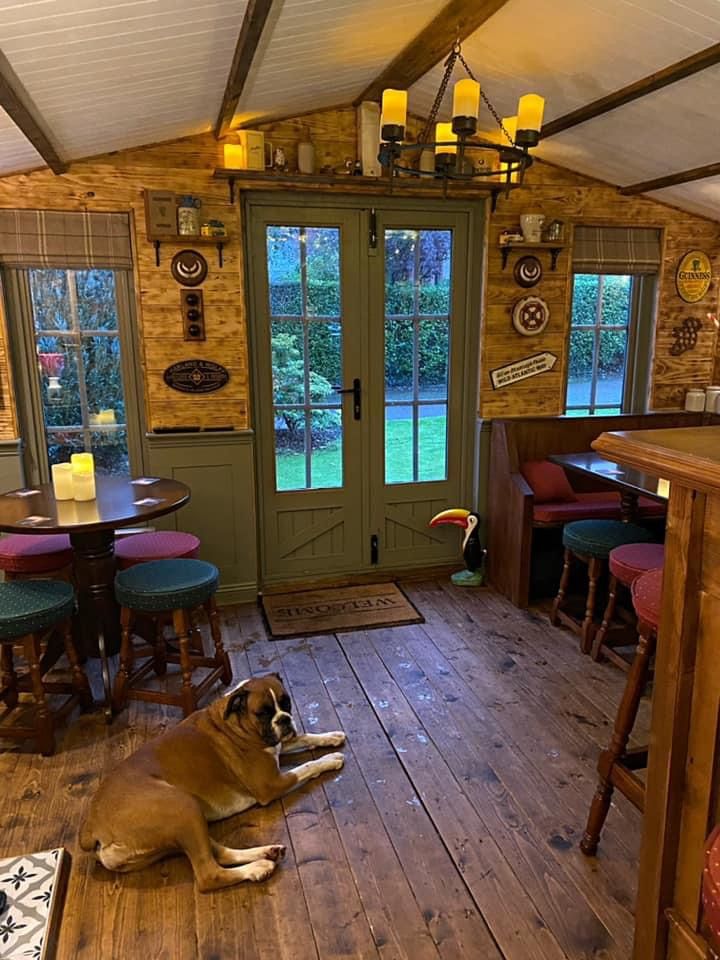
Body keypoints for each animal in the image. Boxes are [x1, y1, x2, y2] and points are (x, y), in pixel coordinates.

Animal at [80, 676, 344, 892]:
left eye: (286, 703)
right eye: (263, 712)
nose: (285, 720)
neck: (234, 722)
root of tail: (92, 826)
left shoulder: (278, 745)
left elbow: (304, 738)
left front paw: (331, 736)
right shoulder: (270, 784)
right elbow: (306, 767)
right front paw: (330, 760)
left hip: (184, 823)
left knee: (220, 853)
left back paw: (265, 853)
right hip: (183, 807)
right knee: (208, 875)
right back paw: (257, 868)